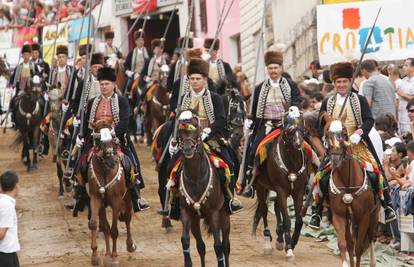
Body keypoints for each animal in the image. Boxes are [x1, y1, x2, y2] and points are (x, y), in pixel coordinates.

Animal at [87, 120, 136, 266]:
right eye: (98, 138)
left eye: (113, 136)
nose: (110, 161)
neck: (105, 169)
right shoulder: (96, 198)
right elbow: (95, 224)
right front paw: (96, 256)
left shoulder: (116, 201)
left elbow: (114, 230)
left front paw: (114, 257)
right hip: (103, 205)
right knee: (105, 227)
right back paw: (107, 254)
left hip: (128, 199)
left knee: (127, 219)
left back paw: (130, 245)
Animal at [177, 112, 231, 267]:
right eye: (180, 131)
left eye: (196, 130)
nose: (188, 149)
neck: (196, 178)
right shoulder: (186, 212)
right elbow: (185, 240)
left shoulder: (214, 213)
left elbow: (218, 246)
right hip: (196, 220)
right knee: (201, 246)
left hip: (224, 215)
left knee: (225, 245)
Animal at [324, 115, 382, 267]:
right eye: (328, 133)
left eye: (344, 133)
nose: (335, 158)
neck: (348, 183)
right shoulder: (339, 215)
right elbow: (343, 244)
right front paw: (346, 263)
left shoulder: (364, 217)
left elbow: (359, 248)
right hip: (351, 219)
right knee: (350, 243)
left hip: (374, 215)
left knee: (371, 238)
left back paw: (373, 262)